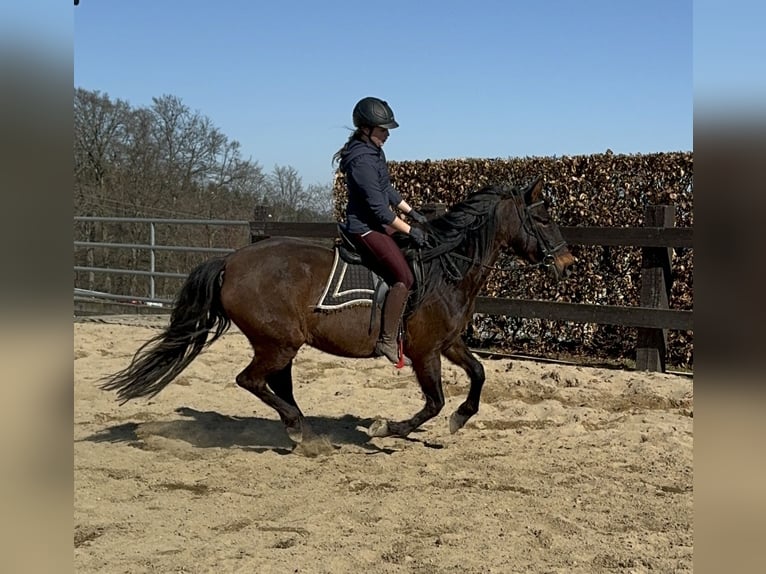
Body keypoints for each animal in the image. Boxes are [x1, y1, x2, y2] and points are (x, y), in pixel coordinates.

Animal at [105, 180, 580, 446]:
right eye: (542, 218)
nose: (567, 263)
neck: (448, 266)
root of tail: (230, 262)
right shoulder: (425, 352)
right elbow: (434, 403)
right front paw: (387, 429)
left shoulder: (449, 344)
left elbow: (479, 375)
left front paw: (460, 420)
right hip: (277, 343)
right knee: (251, 380)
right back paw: (300, 430)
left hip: (282, 344)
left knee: (276, 384)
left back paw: (302, 431)